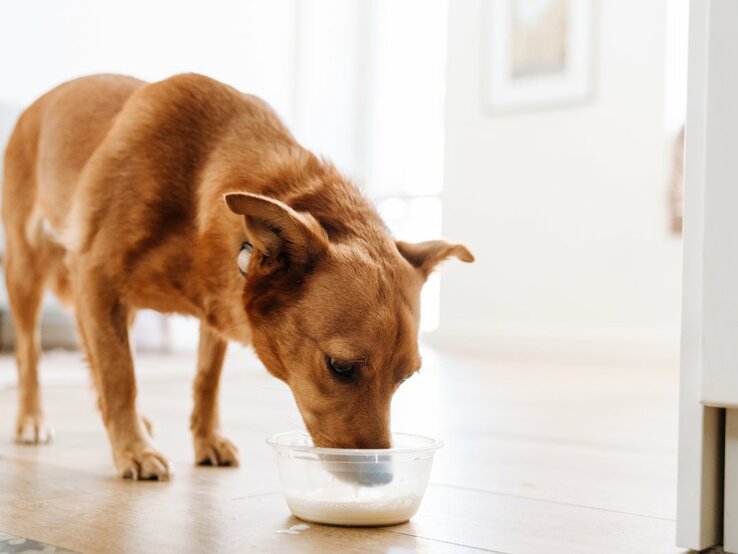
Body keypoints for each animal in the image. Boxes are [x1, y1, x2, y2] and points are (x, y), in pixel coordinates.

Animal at [1, 74, 472, 478]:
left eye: (405, 378)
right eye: (340, 367)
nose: (380, 478)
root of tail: (38, 104)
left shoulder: (213, 309)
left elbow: (205, 381)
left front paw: (205, 440)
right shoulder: (97, 279)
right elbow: (121, 376)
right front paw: (133, 450)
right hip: (27, 274)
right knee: (30, 354)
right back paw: (33, 419)